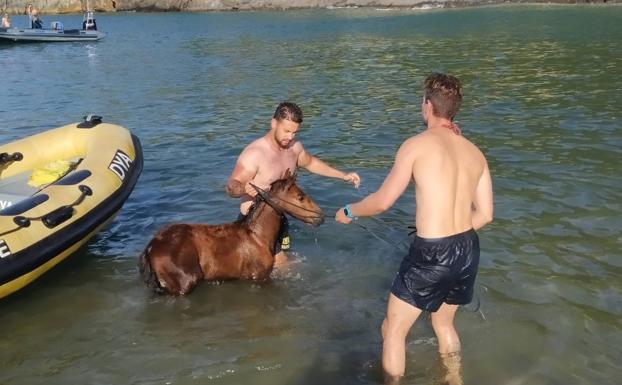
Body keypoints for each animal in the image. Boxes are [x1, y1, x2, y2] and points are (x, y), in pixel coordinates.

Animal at [139, 172, 324, 296]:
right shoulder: (260, 277)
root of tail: (151, 247)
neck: (258, 236)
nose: (320, 217)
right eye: (300, 197)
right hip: (183, 285)